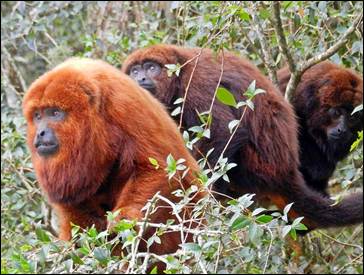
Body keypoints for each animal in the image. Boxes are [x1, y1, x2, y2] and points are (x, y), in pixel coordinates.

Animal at [22, 57, 205, 258]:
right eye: (38, 116)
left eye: (55, 113)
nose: (40, 133)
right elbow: (72, 197)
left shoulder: (125, 105)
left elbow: (155, 168)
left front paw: (122, 221)